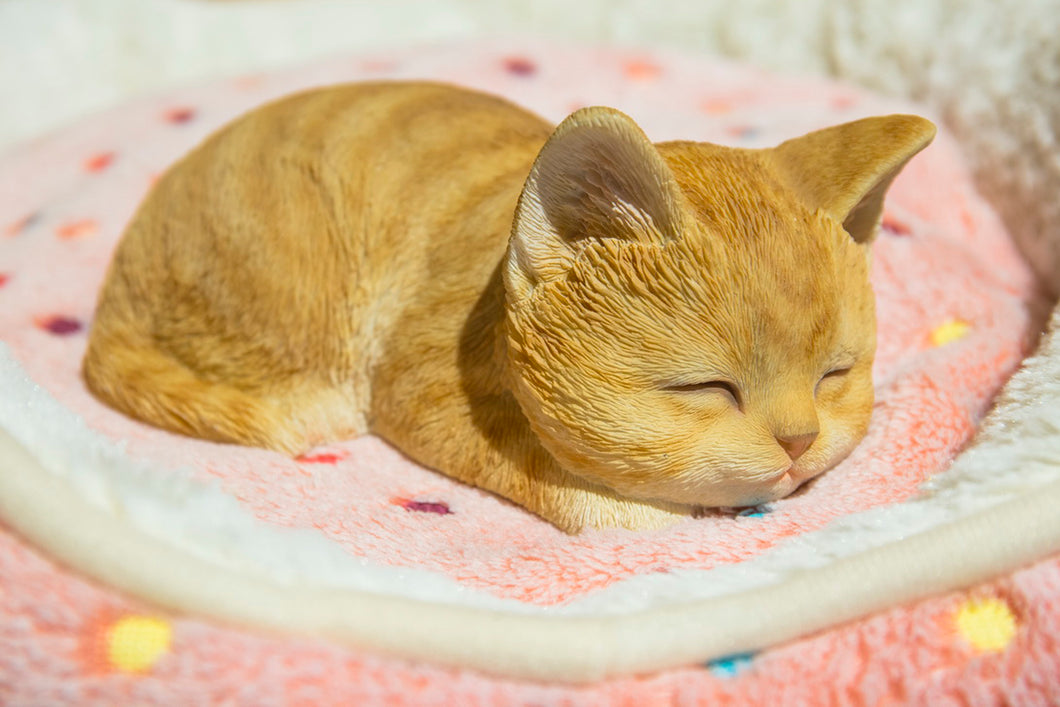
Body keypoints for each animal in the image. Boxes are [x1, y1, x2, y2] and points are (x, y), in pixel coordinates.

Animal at [78, 81, 932, 529]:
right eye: (706, 388)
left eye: (834, 375)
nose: (799, 440)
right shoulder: (420, 388)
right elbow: (546, 468)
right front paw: (646, 508)